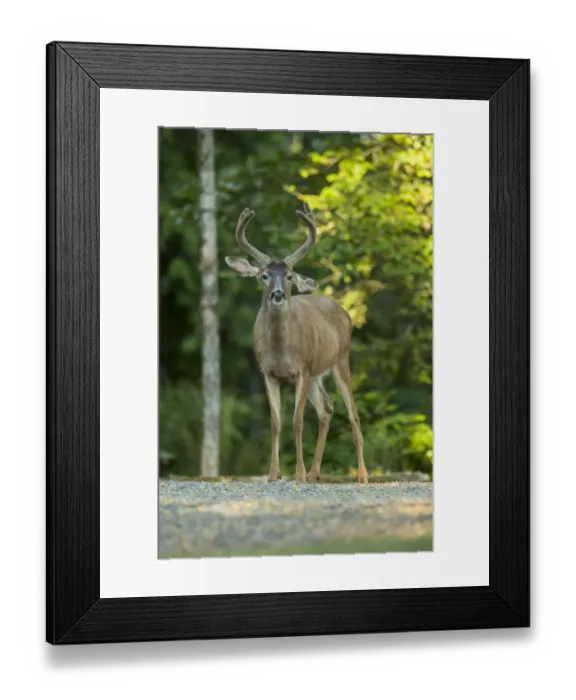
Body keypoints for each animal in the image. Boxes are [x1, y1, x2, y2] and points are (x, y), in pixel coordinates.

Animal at [225, 203, 369, 485]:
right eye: (264, 276)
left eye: (290, 276)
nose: (278, 294)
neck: (282, 350)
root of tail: (344, 312)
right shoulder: (269, 373)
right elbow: (276, 422)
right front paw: (274, 474)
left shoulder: (302, 369)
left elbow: (297, 421)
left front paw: (298, 475)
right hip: (316, 374)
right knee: (327, 407)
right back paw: (315, 472)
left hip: (340, 359)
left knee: (353, 412)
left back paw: (361, 475)